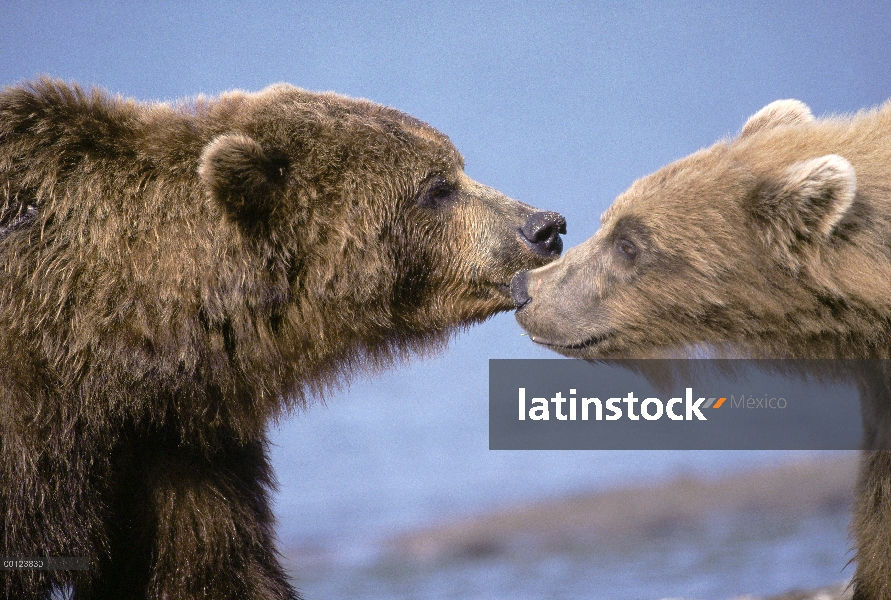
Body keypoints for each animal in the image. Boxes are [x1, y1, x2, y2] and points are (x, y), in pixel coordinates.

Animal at [0, 77, 568, 596]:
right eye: (436, 187)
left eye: (458, 167)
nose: (545, 226)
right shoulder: (36, 427)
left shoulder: (179, 445)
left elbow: (210, 568)